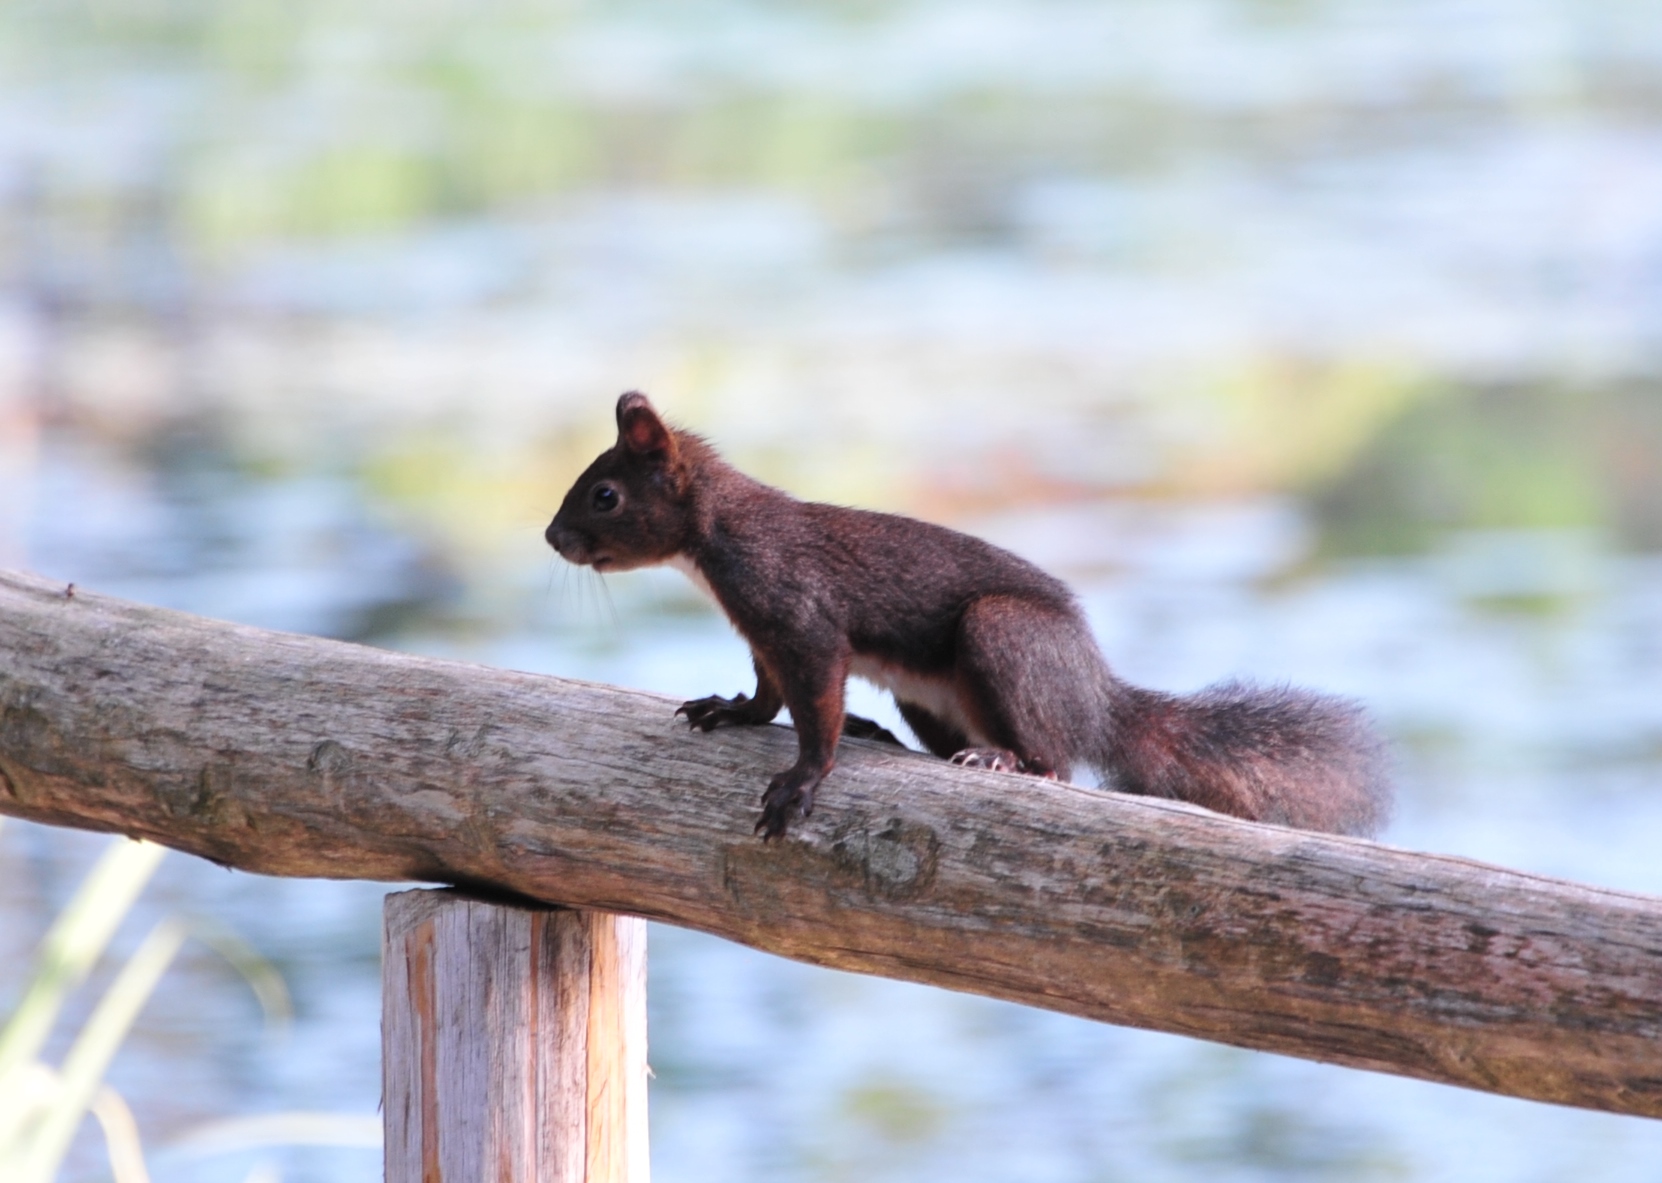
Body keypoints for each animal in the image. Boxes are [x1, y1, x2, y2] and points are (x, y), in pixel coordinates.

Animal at [545, 395, 1389, 840]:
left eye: (604, 495)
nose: (553, 538)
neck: (715, 539)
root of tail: (1097, 695)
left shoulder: (797, 612)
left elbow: (814, 703)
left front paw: (801, 782)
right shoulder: (763, 634)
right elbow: (768, 693)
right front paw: (729, 709)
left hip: (1004, 633)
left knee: (1059, 762)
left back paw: (1005, 760)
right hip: (931, 696)